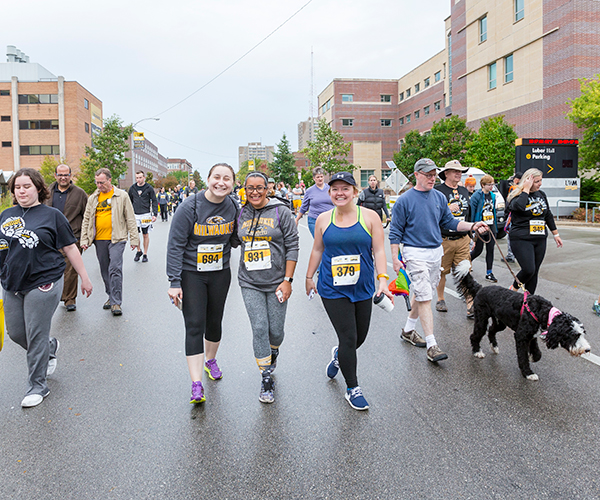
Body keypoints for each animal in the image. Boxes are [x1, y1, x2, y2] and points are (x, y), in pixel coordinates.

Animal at [454, 268, 592, 380]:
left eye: (582, 333)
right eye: (574, 335)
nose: (587, 349)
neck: (543, 312)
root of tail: (481, 288)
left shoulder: (531, 335)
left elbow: (537, 352)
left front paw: (533, 357)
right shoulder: (521, 335)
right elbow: (522, 355)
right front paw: (528, 373)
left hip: (500, 322)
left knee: (491, 330)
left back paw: (494, 347)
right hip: (481, 319)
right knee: (475, 335)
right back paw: (477, 351)